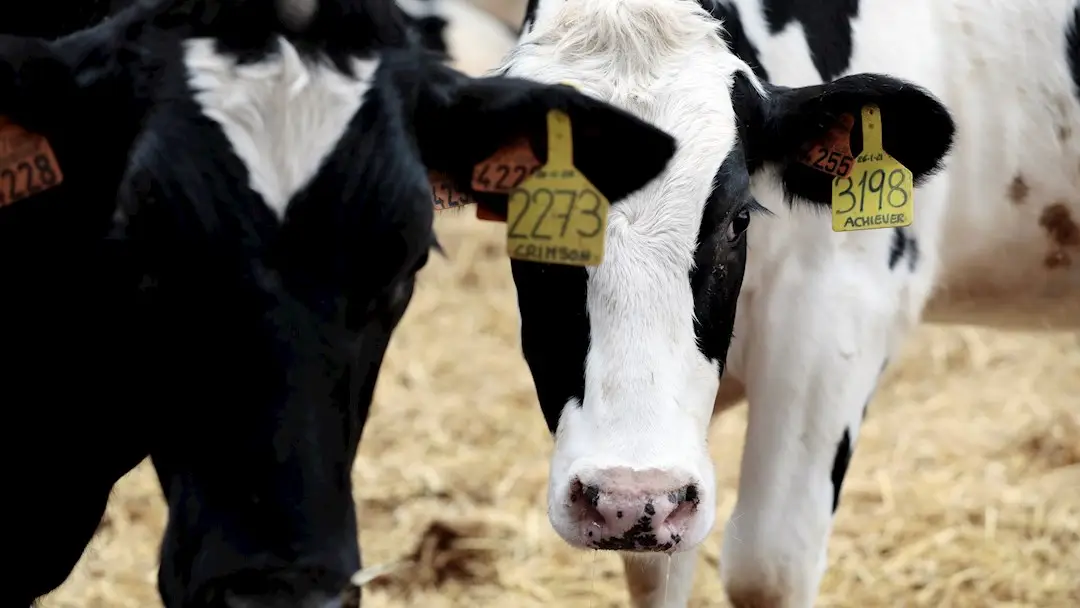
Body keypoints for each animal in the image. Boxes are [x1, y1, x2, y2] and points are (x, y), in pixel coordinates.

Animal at [486, 0, 1078, 606]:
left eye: (739, 219)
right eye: (521, 217)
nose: (628, 498)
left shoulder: (840, 307)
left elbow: (769, 565)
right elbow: (658, 571)